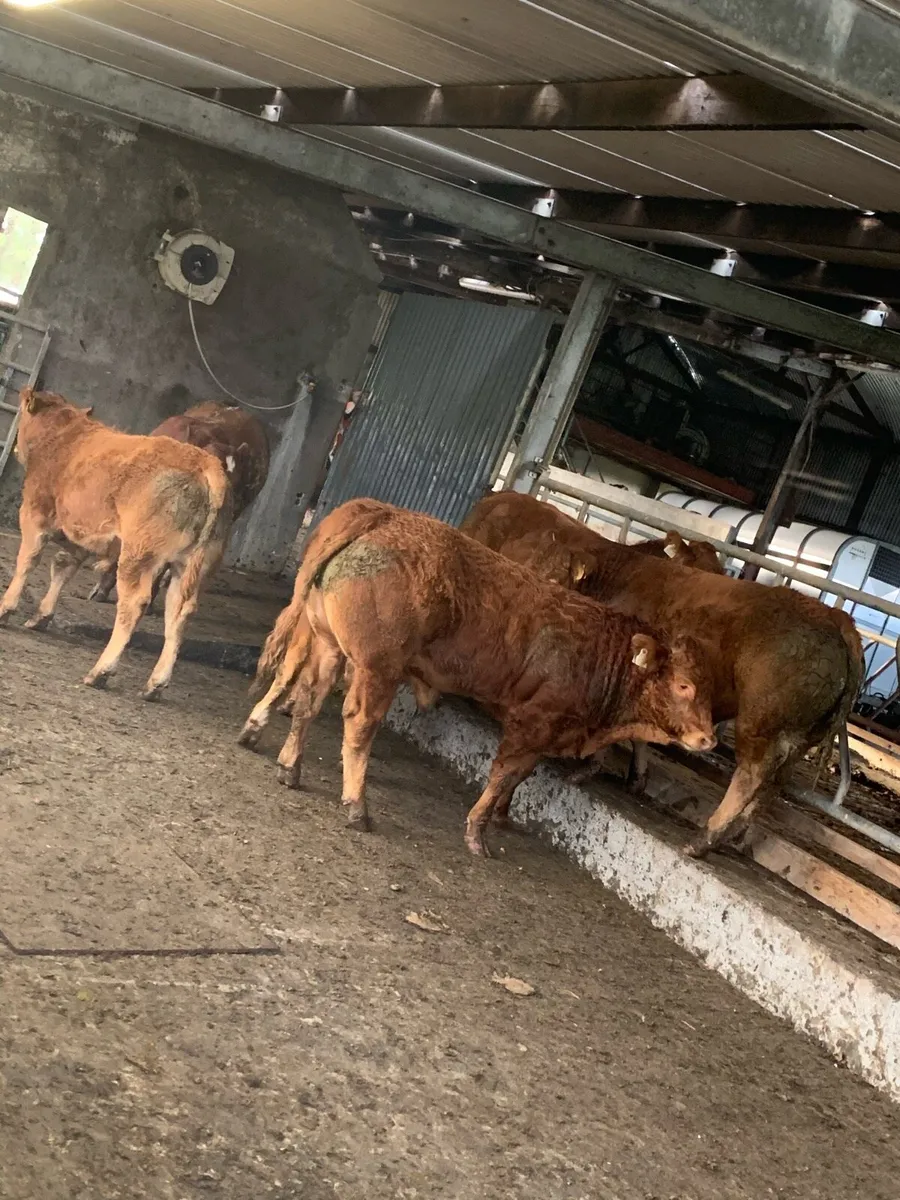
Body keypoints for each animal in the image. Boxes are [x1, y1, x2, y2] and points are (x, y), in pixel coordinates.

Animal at [0, 387, 232, 698]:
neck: (64, 435)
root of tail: (206, 463)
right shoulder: (80, 534)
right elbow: (62, 567)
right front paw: (42, 616)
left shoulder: (34, 513)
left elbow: (27, 560)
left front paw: (6, 608)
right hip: (193, 566)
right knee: (179, 613)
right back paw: (155, 684)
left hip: (139, 555)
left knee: (133, 604)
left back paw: (101, 671)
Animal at [240, 498, 715, 857]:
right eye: (683, 685)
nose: (709, 739)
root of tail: (383, 513)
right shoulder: (533, 723)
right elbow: (504, 773)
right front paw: (478, 831)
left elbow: (520, 776)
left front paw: (500, 817)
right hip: (379, 667)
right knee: (357, 721)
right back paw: (357, 805)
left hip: (327, 642)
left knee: (308, 694)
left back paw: (289, 765)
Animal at [461, 490, 863, 858]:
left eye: (556, 577)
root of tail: (835, 617)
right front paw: (633, 775)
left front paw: (592, 766)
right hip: (797, 737)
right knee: (772, 788)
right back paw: (736, 838)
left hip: (761, 724)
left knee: (751, 776)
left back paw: (704, 839)